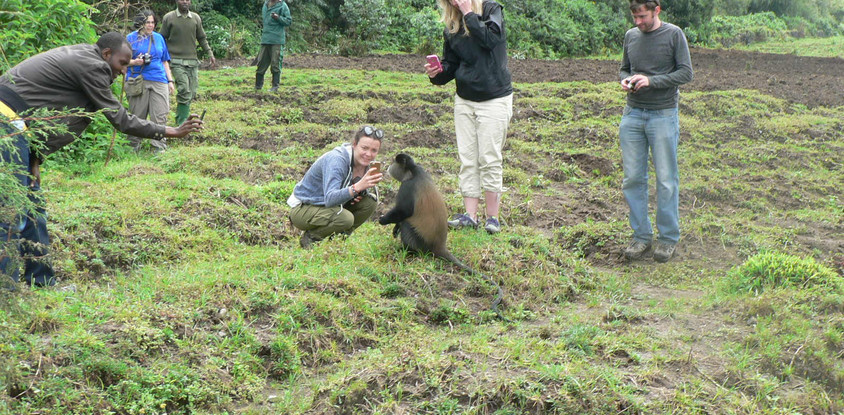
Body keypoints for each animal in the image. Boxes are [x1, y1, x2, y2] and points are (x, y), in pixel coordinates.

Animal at [378, 153, 507, 322]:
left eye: (394, 162)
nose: (388, 166)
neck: (415, 171)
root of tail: (439, 245)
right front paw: (394, 228)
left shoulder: (407, 186)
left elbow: (403, 211)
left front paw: (383, 220)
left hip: (420, 242)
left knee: (407, 223)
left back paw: (408, 251)